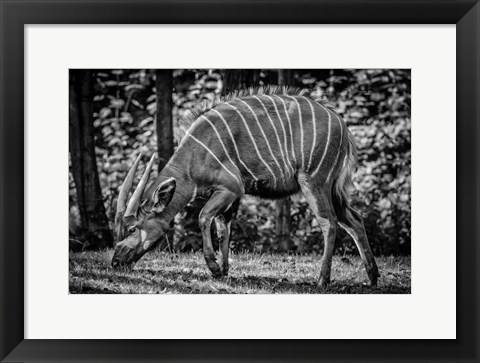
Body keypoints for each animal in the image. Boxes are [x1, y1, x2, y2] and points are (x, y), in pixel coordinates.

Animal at [112, 87, 378, 288]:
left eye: (132, 228)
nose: (115, 262)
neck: (194, 157)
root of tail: (343, 126)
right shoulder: (230, 195)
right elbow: (224, 225)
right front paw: (224, 270)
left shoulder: (231, 188)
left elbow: (204, 217)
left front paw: (214, 267)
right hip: (332, 188)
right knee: (354, 219)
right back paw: (373, 277)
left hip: (314, 181)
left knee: (329, 222)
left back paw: (323, 279)